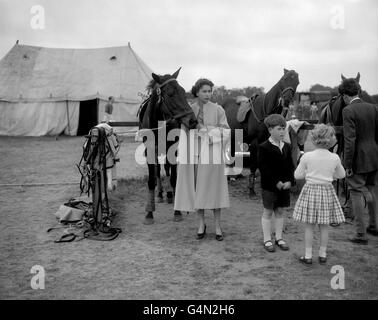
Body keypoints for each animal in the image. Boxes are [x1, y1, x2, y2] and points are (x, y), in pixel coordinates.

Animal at [138, 68, 198, 222]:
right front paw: (149, 212)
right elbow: (151, 179)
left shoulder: (173, 148)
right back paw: (160, 194)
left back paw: (170, 195)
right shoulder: (150, 150)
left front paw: (177, 211)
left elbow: (173, 177)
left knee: (167, 168)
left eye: (183, 91)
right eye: (170, 94)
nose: (193, 121)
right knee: (159, 170)